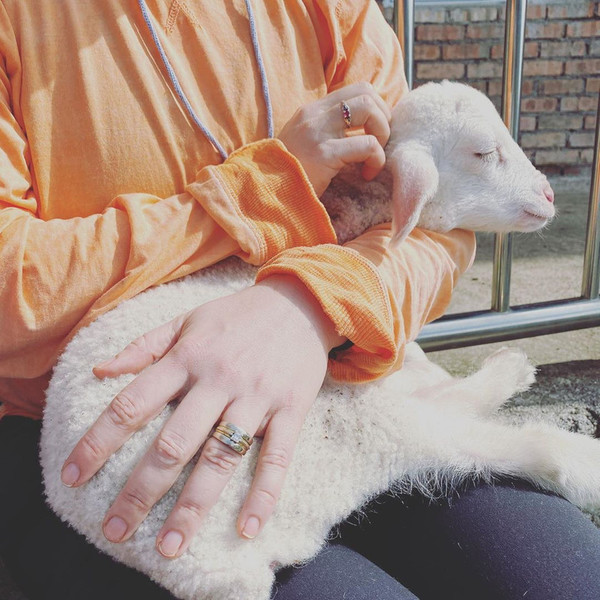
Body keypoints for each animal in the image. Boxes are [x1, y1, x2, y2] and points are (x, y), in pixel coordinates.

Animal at [42, 82, 596, 600]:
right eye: (482, 153)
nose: (548, 196)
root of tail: (211, 573)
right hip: (344, 429)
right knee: (487, 441)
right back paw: (568, 446)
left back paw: (511, 370)